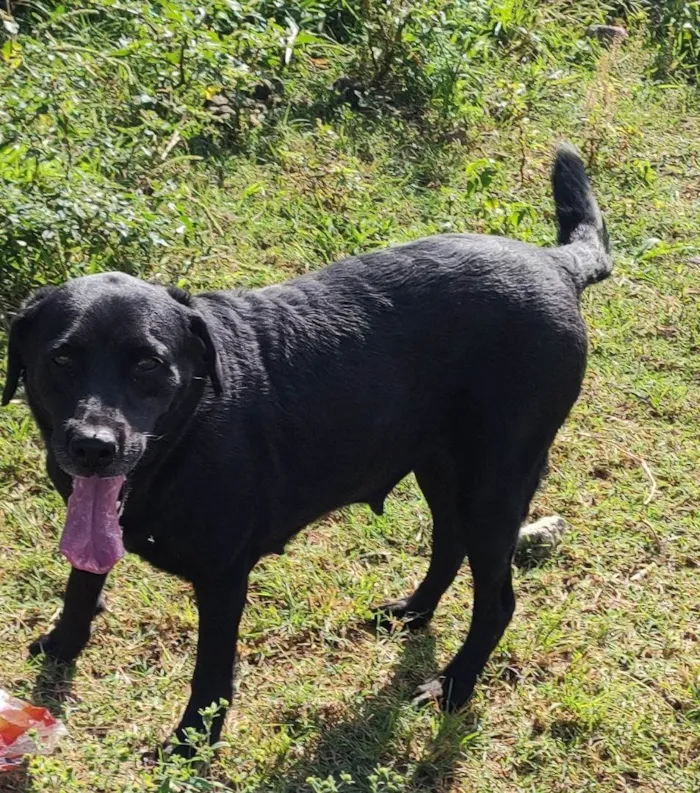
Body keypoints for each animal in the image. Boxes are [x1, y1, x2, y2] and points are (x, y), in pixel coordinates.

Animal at [2, 147, 608, 748]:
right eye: (61, 358)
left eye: (148, 364)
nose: (93, 446)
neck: (185, 436)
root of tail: (556, 263)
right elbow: (82, 583)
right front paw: (64, 644)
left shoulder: (224, 574)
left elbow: (211, 669)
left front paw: (194, 739)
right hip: (439, 466)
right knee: (448, 543)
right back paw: (413, 611)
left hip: (495, 483)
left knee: (497, 602)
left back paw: (453, 685)